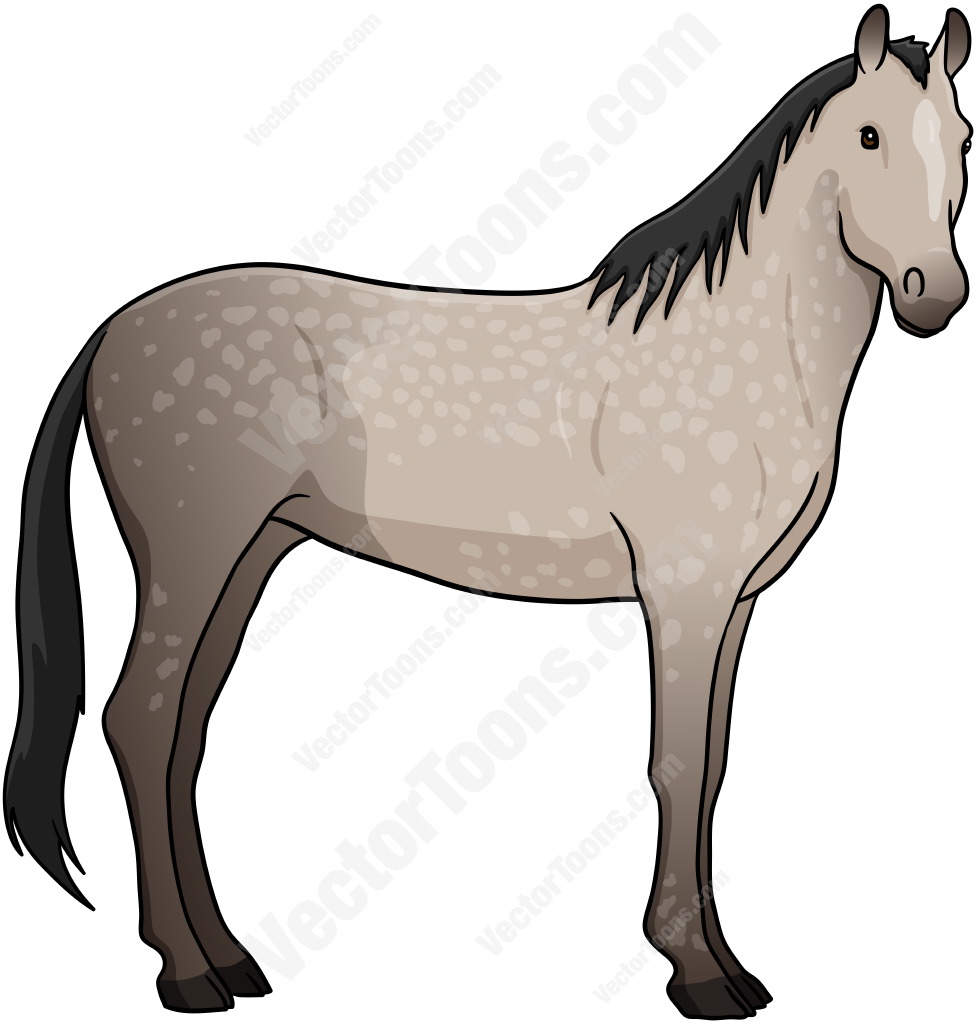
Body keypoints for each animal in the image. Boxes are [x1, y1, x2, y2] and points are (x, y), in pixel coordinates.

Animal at [4, 4, 970, 1017]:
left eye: (963, 139)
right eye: (869, 136)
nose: (934, 294)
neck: (733, 348)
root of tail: (112, 331)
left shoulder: (734, 603)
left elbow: (712, 768)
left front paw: (721, 960)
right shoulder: (684, 595)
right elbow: (674, 765)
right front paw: (697, 971)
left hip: (247, 557)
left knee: (182, 733)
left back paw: (229, 957)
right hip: (191, 554)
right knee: (140, 723)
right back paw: (185, 972)